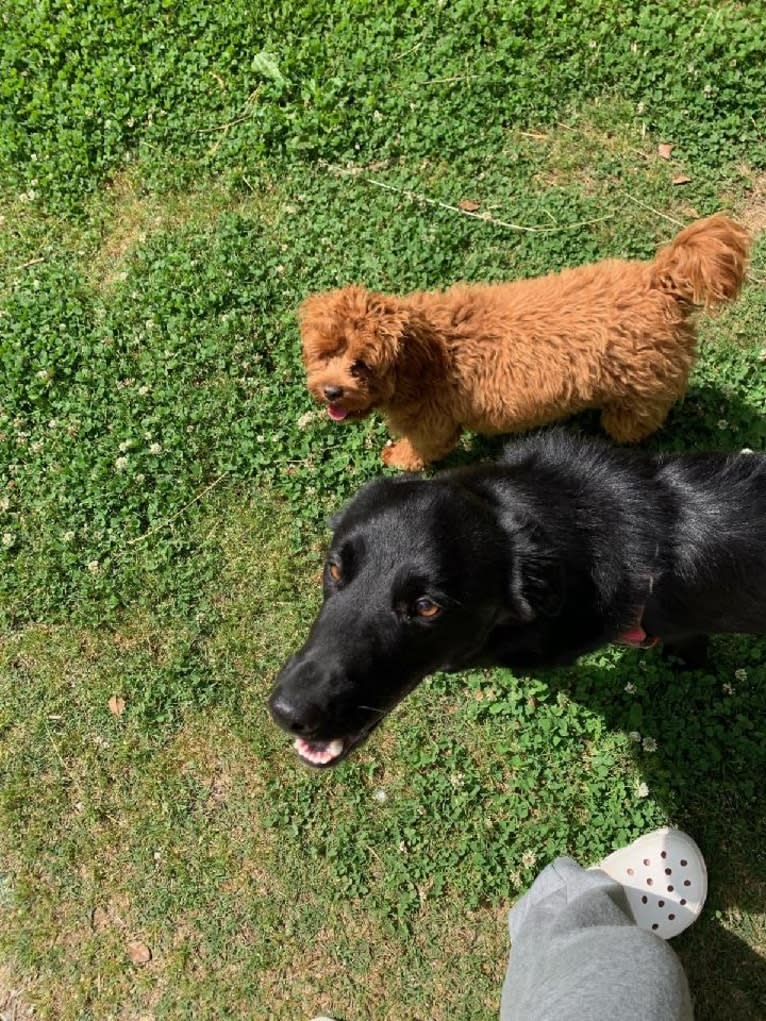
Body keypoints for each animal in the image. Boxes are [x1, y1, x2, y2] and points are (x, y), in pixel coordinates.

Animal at [300, 218, 751, 469]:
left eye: (361, 364)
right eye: (323, 355)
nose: (331, 392)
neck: (427, 353)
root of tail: (661, 282)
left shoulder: (433, 425)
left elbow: (423, 449)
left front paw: (398, 459)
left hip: (638, 396)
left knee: (633, 424)